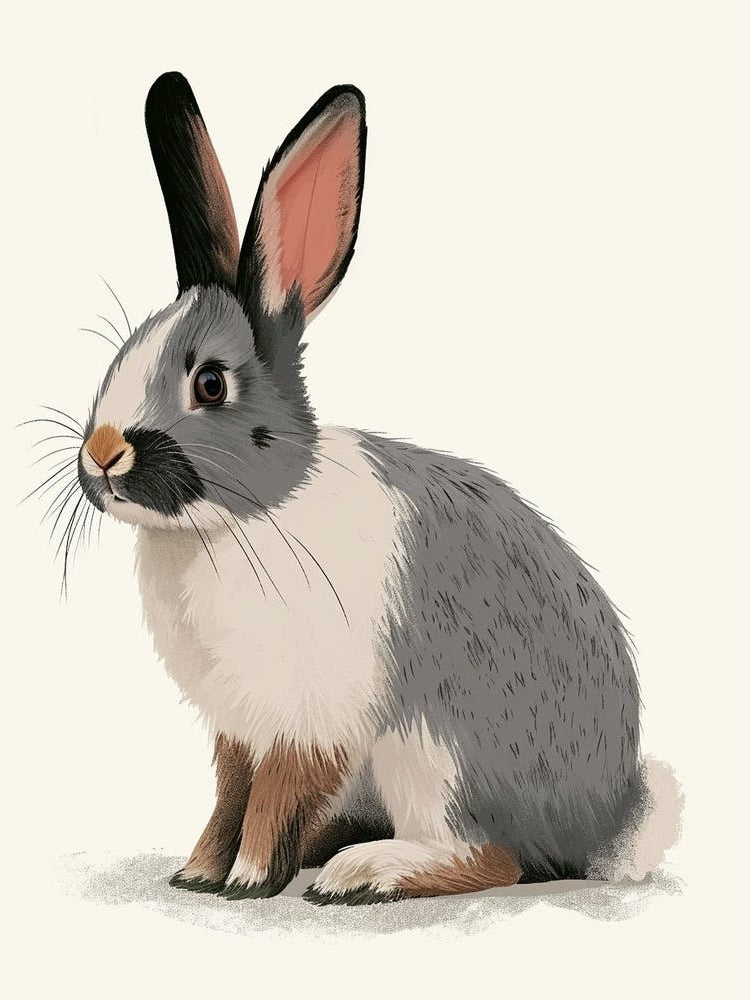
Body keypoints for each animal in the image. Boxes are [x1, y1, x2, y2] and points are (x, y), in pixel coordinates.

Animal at [71, 71, 643, 904]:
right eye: (118, 357)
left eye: (210, 383)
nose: (102, 454)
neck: (238, 522)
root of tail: (607, 825)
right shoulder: (238, 728)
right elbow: (231, 794)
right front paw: (198, 871)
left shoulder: (310, 719)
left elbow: (271, 797)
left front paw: (248, 878)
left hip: (436, 756)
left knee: (491, 857)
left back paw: (363, 873)